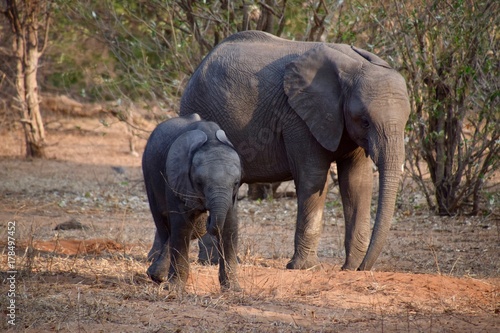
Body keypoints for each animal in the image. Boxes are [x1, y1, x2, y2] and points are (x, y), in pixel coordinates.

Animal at [143, 113, 242, 290]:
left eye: (236, 183)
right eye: (199, 183)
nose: (208, 217)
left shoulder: (232, 196)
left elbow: (230, 224)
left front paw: (233, 289)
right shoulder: (177, 178)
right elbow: (182, 225)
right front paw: (174, 288)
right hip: (148, 171)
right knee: (163, 225)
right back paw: (158, 277)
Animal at [180, 30, 410, 270]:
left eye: (407, 120)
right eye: (365, 121)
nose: (362, 267)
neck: (354, 66)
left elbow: (357, 181)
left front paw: (350, 268)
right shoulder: (297, 117)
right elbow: (313, 177)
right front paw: (303, 267)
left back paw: (219, 261)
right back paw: (213, 262)